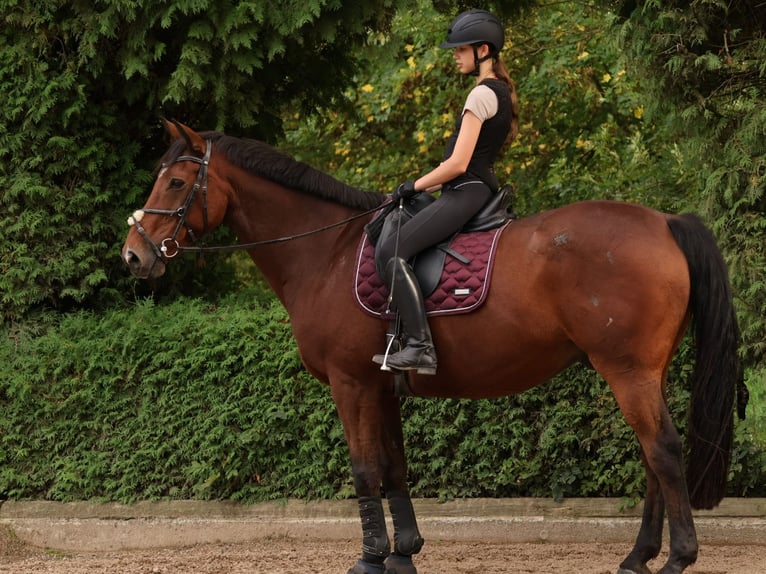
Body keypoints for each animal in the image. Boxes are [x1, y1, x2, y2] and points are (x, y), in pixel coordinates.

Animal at [122, 120, 745, 574]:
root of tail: (663, 222)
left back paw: (676, 560)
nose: (134, 254)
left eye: (174, 183)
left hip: (627, 370)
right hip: (644, 372)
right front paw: (403, 554)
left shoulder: (351, 383)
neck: (325, 252)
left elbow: (363, 469)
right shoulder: (380, 384)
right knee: (652, 458)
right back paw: (637, 558)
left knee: (662, 451)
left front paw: (370, 559)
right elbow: (394, 468)